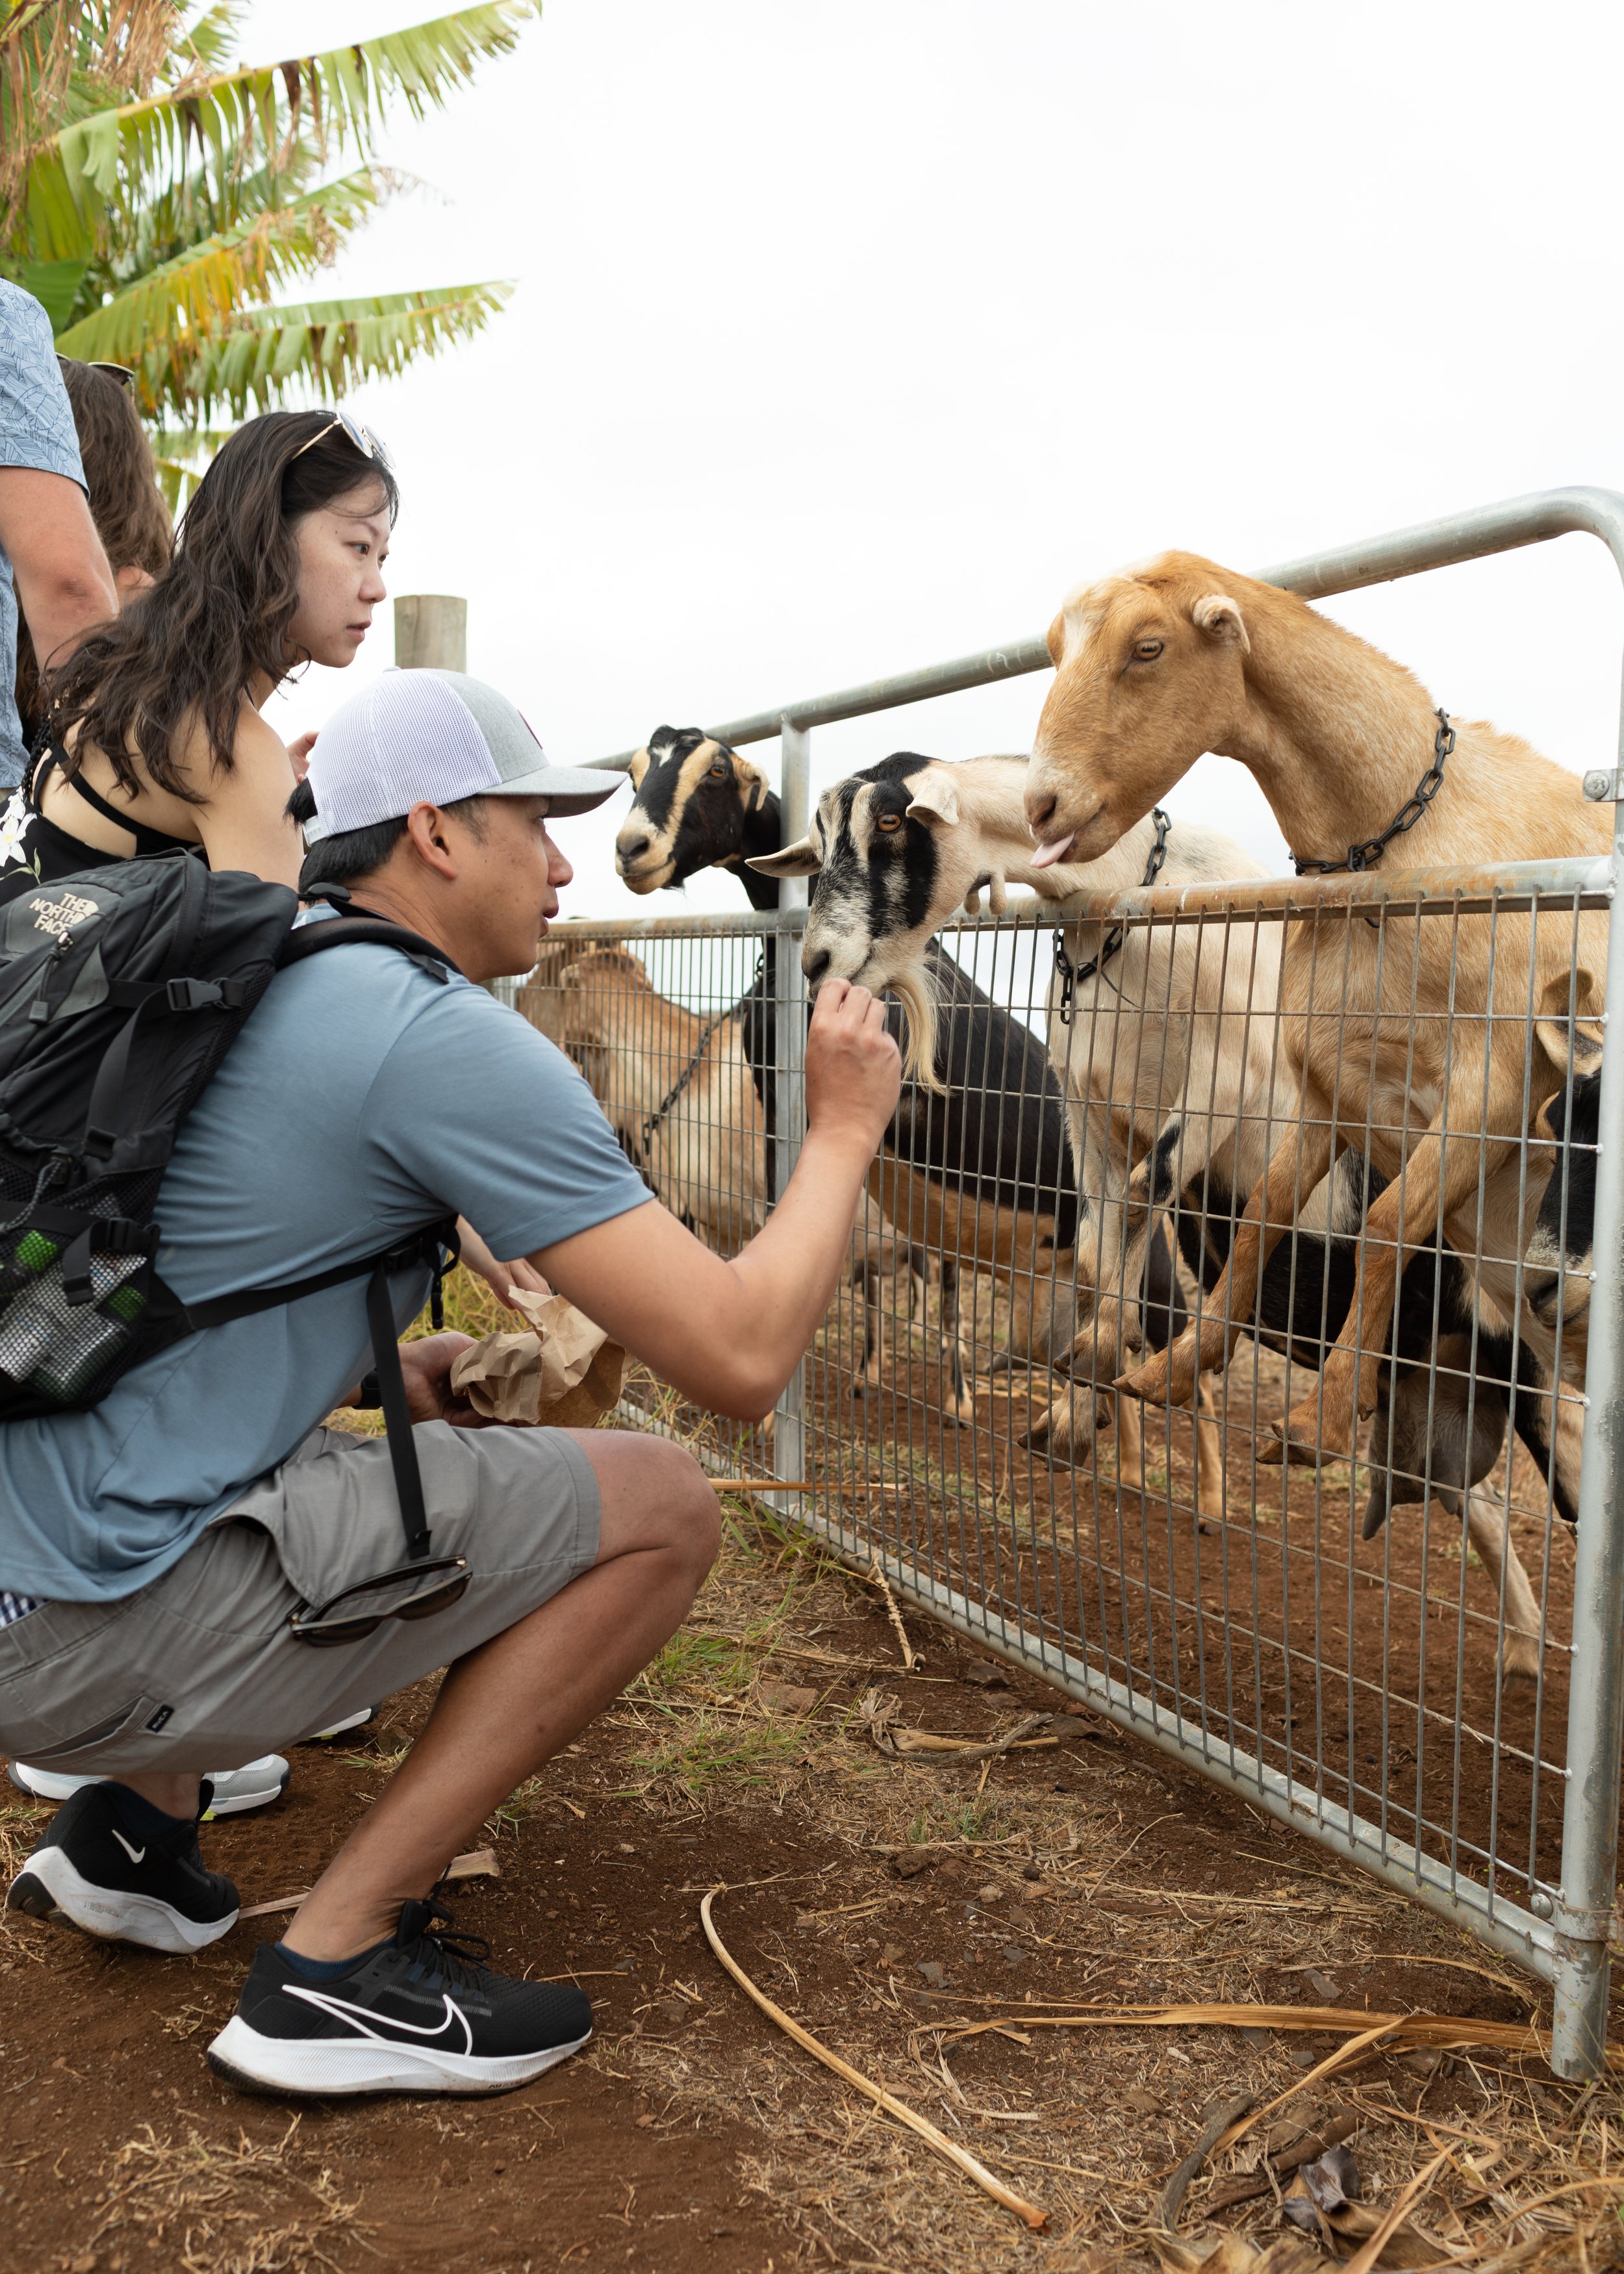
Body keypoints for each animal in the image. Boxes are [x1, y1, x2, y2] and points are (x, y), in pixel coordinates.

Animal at [1019, 550, 1601, 1455]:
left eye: (1148, 647)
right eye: (1053, 649)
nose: (1039, 806)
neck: (1411, 861)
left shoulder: (1493, 1086)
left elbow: (1388, 1226)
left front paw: (1319, 1417)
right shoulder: (1329, 1082)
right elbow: (1265, 1211)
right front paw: (1175, 1368)